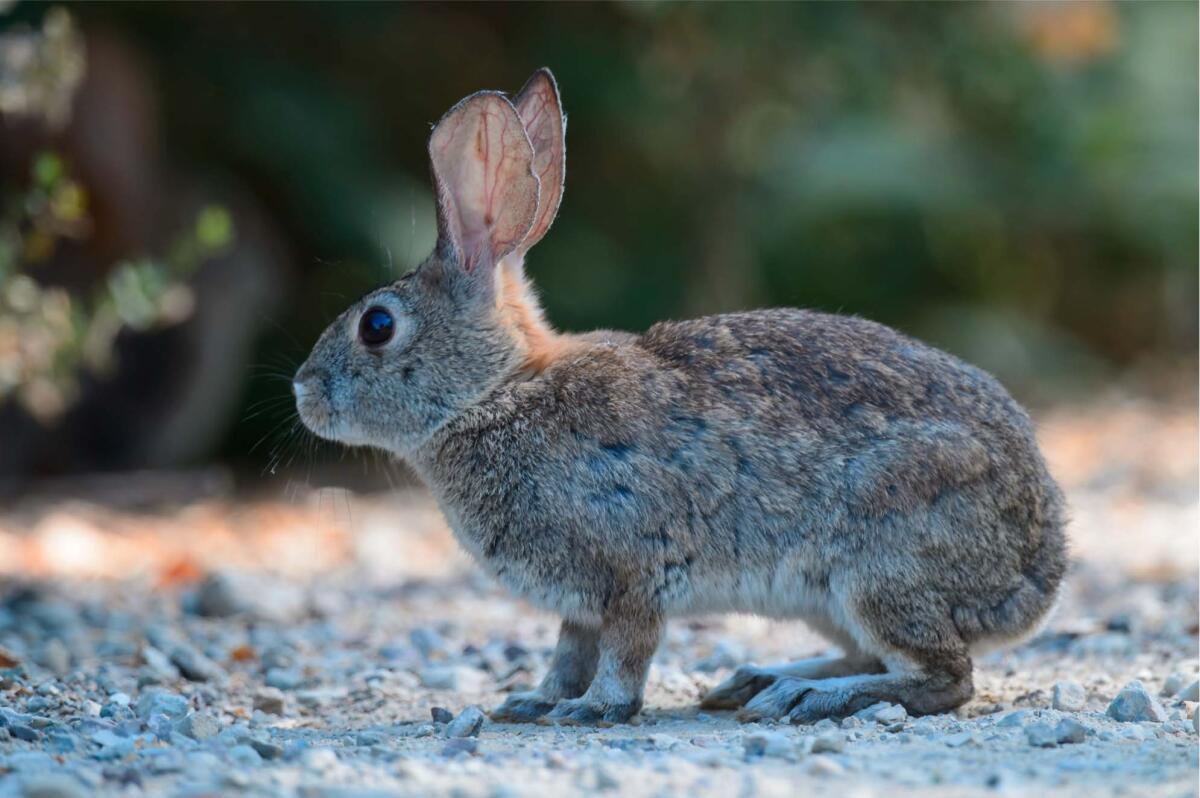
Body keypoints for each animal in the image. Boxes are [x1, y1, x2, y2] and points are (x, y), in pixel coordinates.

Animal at [293, 68, 1067, 726]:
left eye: (377, 326)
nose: (303, 392)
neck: (495, 391)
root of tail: (1036, 573)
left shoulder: (629, 571)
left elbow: (624, 651)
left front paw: (593, 710)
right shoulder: (579, 602)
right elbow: (567, 654)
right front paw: (535, 702)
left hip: (879, 566)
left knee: (943, 677)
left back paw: (806, 697)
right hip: (831, 597)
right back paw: (760, 680)